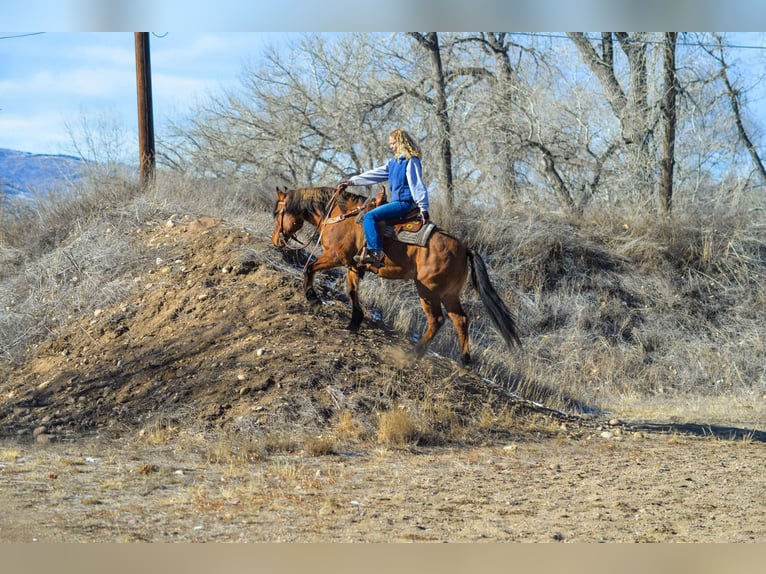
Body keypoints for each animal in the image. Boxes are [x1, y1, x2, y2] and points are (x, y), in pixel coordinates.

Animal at [272, 187, 520, 366]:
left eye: (277, 213)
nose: (276, 240)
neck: (339, 216)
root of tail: (465, 248)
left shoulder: (336, 256)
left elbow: (309, 268)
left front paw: (313, 298)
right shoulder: (352, 266)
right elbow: (352, 292)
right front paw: (354, 322)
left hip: (427, 290)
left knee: (437, 320)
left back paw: (414, 353)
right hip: (449, 294)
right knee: (461, 320)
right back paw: (465, 361)